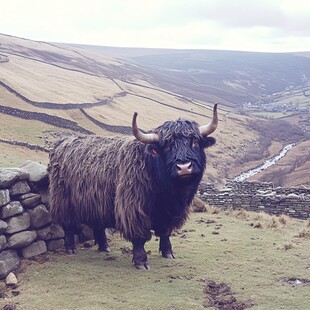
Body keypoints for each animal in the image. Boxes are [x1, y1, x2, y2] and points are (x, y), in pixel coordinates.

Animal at [48, 104, 218, 268]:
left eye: (194, 141)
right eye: (167, 146)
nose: (184, 167)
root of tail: (62, 143)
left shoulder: (171, 213)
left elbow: (165, 232)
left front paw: (168, 252)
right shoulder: (133, 208)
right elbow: (139, 237)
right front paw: (141, 261)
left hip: (96, 202)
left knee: (98, 225)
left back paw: (104, 247)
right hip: (63, 200)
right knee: (68, 224)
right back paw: (71, 248)